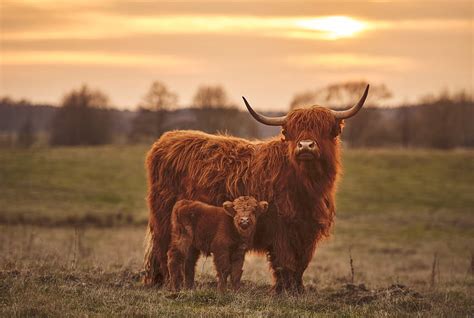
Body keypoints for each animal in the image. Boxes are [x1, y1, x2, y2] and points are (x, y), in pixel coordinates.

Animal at [144, 85, 370, 294]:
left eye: (324, 129)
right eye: (290, 131)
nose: (305, 146)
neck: (306, 185)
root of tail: (166, 139)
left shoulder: (307, 231)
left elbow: (301, 263)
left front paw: (298, 289)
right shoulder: (281, 228)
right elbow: (286, 262)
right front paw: (284, 291)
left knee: (187, 255)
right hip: (164, 219)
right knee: (164, 250)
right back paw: (165, 283)